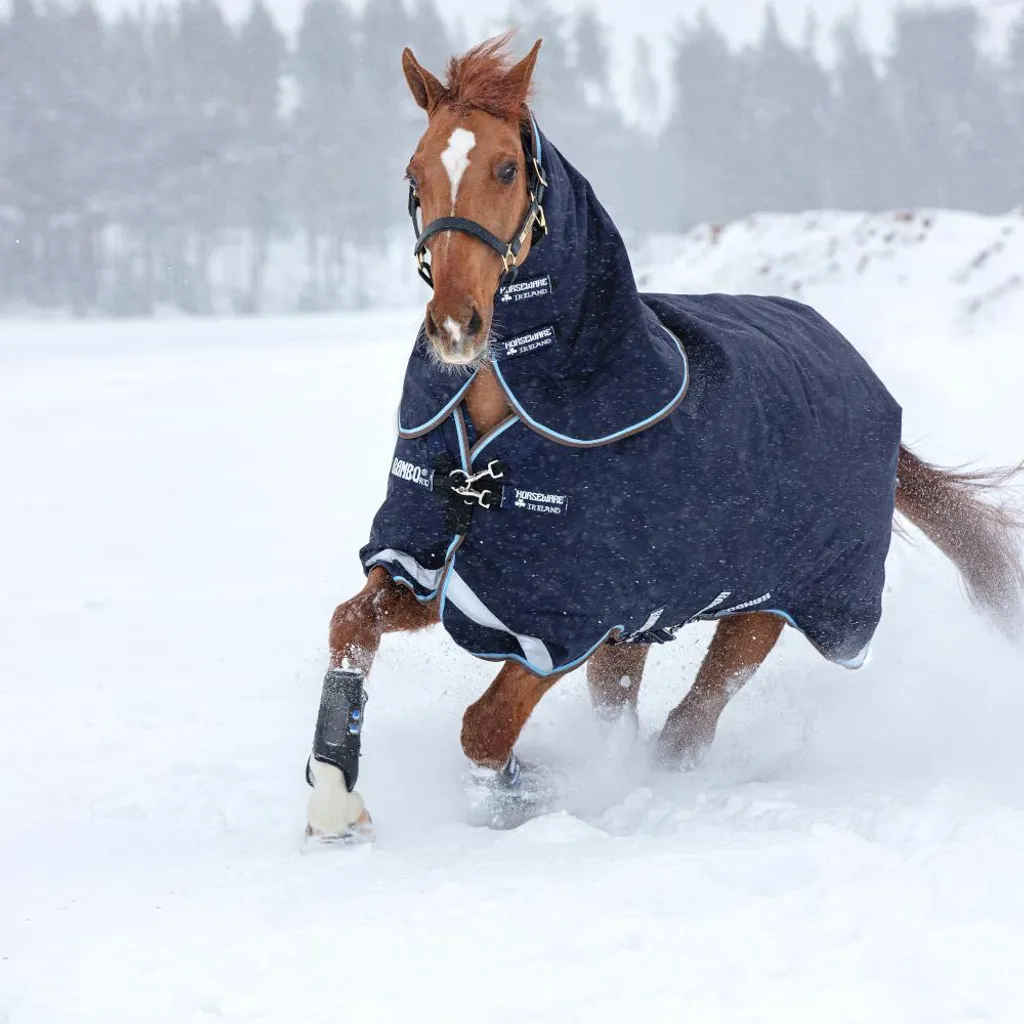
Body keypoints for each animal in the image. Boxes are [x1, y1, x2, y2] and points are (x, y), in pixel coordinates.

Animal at [303, 35, 1024, 841]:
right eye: (415, 172)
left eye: (506, 168)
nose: (456, 325)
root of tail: (869, 388)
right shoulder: (440, 568)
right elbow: (349, 624)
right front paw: (334, 798)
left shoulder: (568, 619)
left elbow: (484, 727)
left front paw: (525, 792)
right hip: (647, 630)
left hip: (768, 606)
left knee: (688, 728)